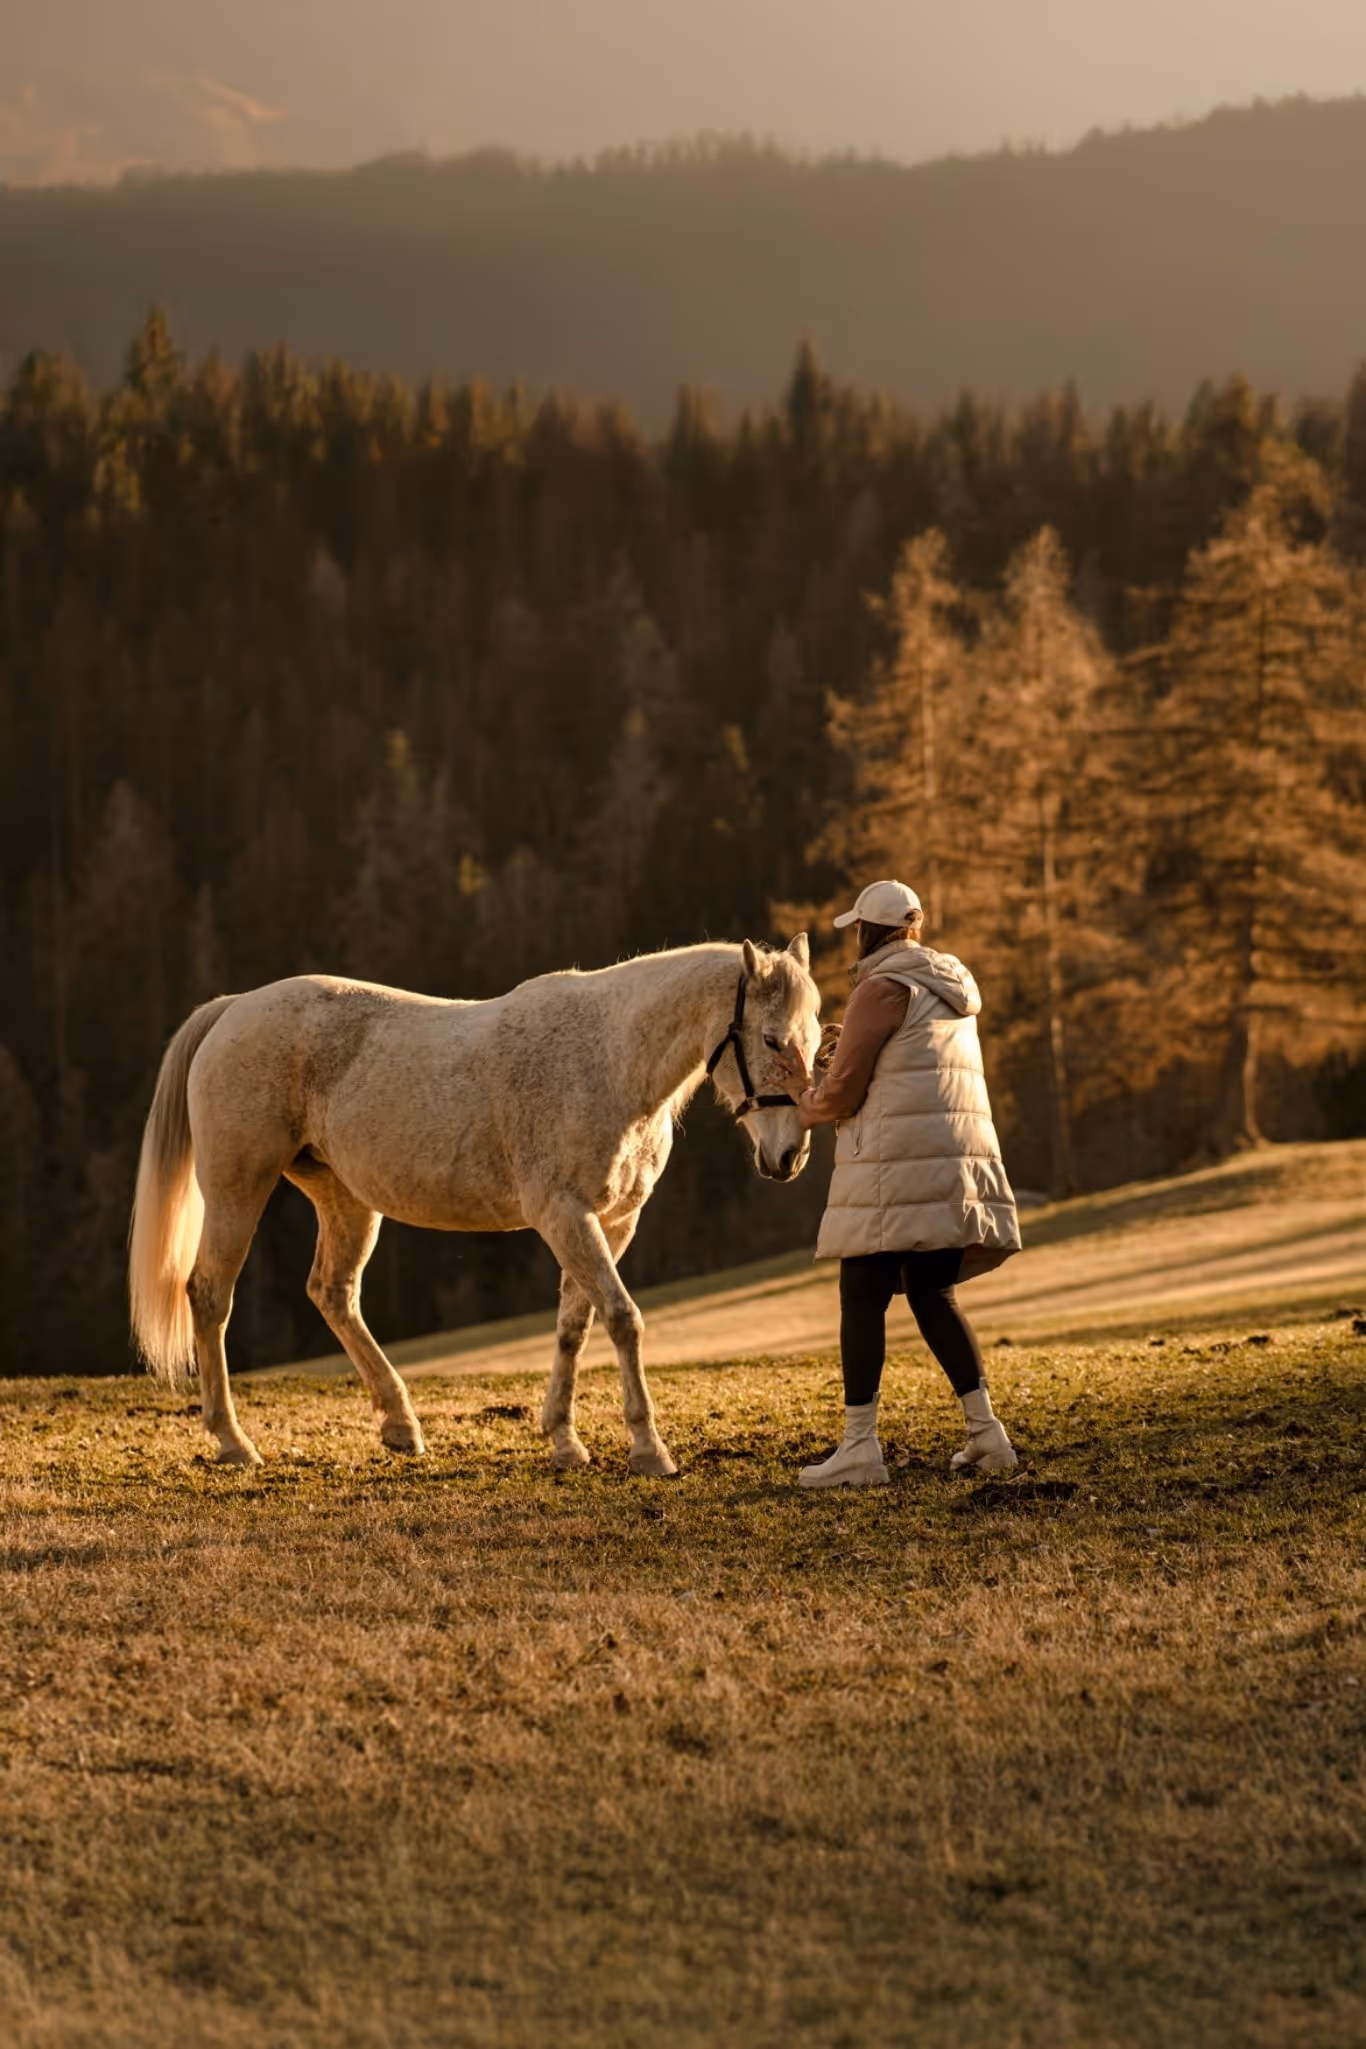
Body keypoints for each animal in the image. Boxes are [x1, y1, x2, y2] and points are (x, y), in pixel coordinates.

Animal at [128, 935, 820, 1475]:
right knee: (210, 1295)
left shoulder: (614, 1221)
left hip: (346, 1199)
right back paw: (233, 1441)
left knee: (334, 1293)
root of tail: (234, 1009)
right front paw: (649, 1449)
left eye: (815, 1040)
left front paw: (563, 1440)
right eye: (770, 1038)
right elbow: (622, 1318)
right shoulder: (564, 1215)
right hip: (237, 1187)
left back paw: (401, 1426)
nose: (789, 1155)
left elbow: (575, 1324)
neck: (607, 1060)